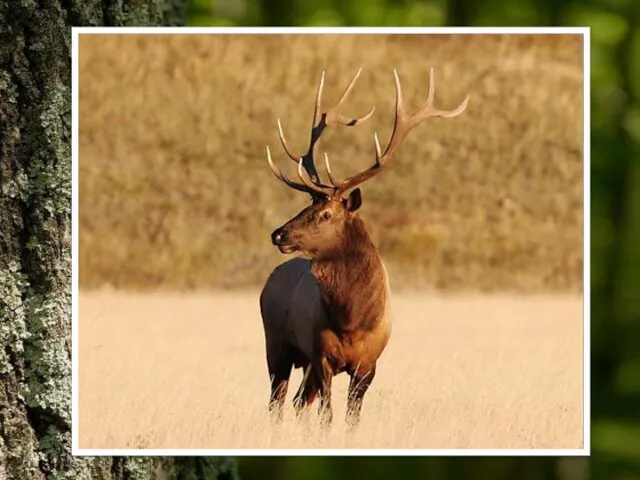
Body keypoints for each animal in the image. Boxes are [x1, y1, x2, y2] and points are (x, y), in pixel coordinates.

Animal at [258, 67, 468, 428]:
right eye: (306, 206)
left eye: (326, 214)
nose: (278, 234)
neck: (352, 320)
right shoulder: (322, 356)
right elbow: (327, 416)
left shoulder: (368, 365)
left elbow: (351, 420)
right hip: (277, 344)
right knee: (277, 403)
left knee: (297, 402)